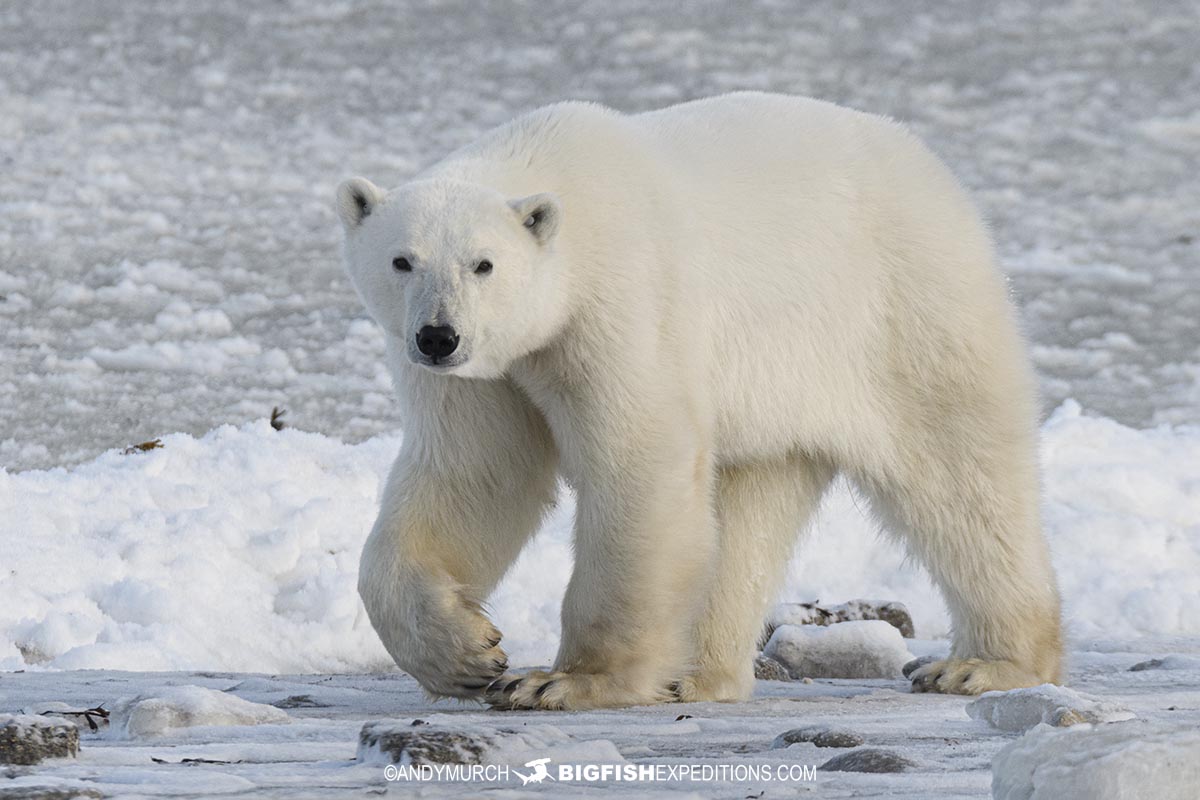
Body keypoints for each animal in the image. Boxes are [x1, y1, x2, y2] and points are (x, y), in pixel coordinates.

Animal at [338, 90, 1060, 710]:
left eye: (483, 263)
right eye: (403, 260)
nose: (439, 336)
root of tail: (933, 169)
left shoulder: (622, 305)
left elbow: (639, 464)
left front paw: (563, 681)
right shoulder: (487, 374)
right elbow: (477, 475)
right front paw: (464, 654)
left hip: (904, 313)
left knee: (959, 477)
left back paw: (984, 665)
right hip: (780, 394)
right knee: (748, 515)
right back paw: (694, 675)